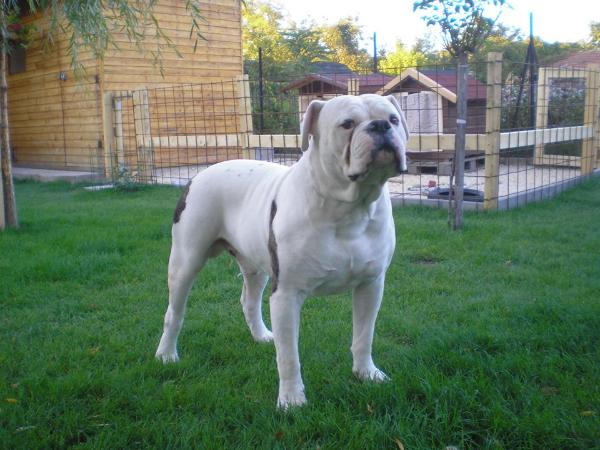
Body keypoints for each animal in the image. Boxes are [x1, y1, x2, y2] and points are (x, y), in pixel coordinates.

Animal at [156, 94, 408, 408]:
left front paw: (366, 373)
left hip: (254, 266)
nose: (380, 126)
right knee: (174, 312)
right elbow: (288, 356)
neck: (350, 207)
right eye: (348, 124)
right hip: (186, 262)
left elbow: (364, 335)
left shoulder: (370, 286)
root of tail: (199, 175)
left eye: (393, 119)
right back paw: (166, 354)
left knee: (249, 301)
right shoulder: (287, 294)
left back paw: (263, 336)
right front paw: (291, 400)